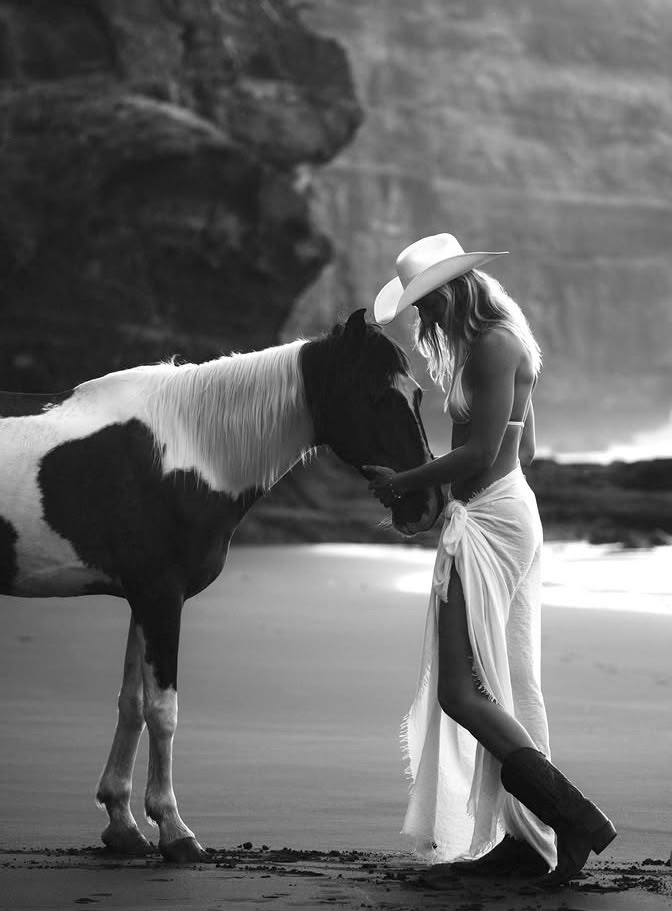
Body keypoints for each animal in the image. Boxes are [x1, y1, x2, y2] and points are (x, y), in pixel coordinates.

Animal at [0, 308, 443, 862]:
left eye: (419, 395)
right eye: (376, 395)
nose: (426, 505)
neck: (187, 453)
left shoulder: (142, 600)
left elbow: (131, 705)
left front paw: (122, 824)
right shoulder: (161, 599)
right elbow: (162, 711)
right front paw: (174, 829)